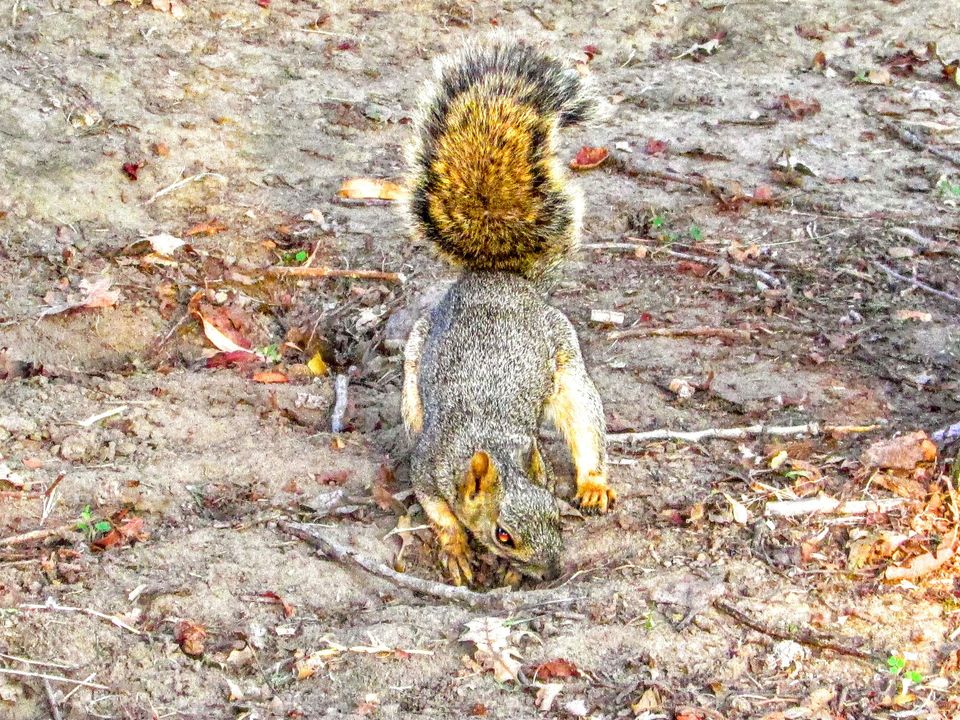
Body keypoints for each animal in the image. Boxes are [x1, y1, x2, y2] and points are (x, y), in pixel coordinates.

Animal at [401, 39, 615, 586]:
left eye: (556, 515)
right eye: (503, 534)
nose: (555, 572)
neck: (489, 440)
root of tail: (498, 276)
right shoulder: (428, 469)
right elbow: (440, 513)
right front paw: (457, 548)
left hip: (567, 364)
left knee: (586, 425)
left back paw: (593, 482)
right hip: (414, 368)